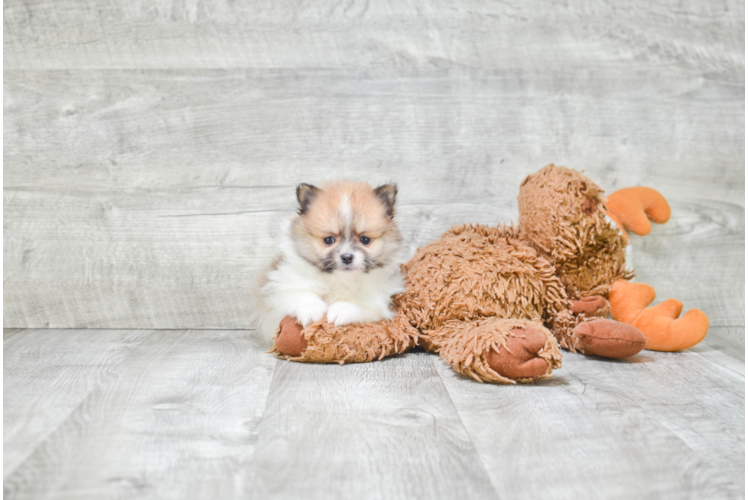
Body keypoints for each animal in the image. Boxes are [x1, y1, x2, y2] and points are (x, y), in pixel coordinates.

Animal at [254, 182, 404, 342]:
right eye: (329, 240)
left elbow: (363, 302)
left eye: (365, 240)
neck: (341, 279)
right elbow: (300, 291)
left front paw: (342, 310)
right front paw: (311, 309)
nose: (347, 257)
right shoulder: (284, 283)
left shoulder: (380, 294)